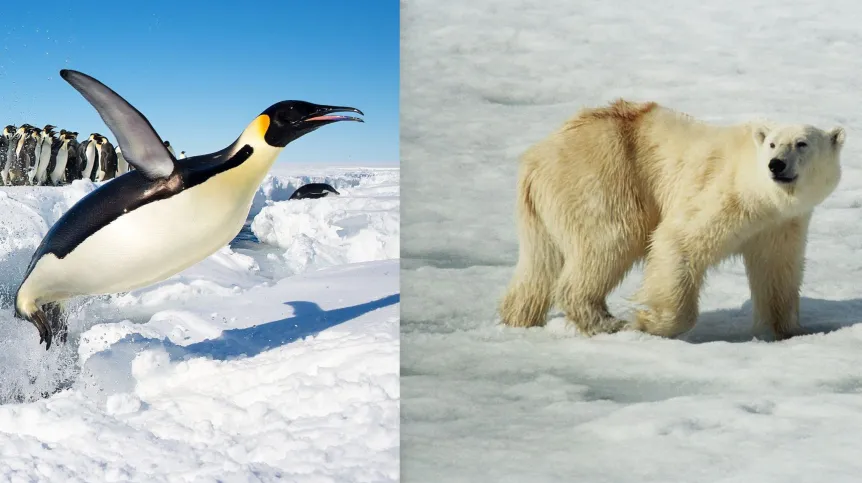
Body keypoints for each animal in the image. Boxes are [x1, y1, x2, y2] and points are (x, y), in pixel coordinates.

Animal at [500, 98, 844, 340]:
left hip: (542, 210)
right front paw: (648, 322)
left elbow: (777, 272)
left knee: (539, 266)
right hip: (600, 177)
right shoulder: (724, 197)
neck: (761, 194)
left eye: (802, 143)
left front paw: (789, 331)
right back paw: (606, 321)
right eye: (772, 143)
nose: (776, 165)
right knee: (612, 238)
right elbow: (677, 242)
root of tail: (534, 160)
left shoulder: (781, 225)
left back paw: (517, 318)